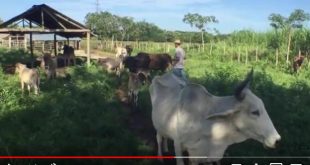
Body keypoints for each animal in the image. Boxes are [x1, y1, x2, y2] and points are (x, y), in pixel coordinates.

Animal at [150, 70, 280, 165]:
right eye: (255, 112)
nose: (277, 140)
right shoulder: (179, 146)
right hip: (156, 125)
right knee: (159, 138)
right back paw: (160, 156)